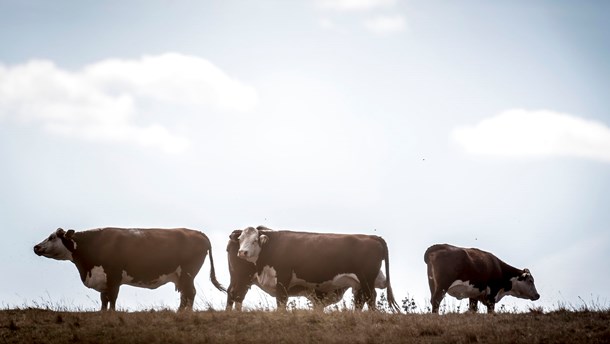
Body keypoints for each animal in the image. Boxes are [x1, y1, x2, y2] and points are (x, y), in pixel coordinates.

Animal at [32, 227, 226, 310]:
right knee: (185, 295)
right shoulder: (104, 279)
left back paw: (185, 314)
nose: (36, 247)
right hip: (183, 276)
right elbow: (104, 300)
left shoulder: (114, 277)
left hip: (187, 273)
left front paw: (112, 314)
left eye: (52, 237)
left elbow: (112, 299)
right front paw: (103, 313)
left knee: (190, 293)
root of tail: (198, 233)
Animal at [228, 226, 400, 312]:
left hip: (366, 279)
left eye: (255, 240)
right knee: (235, 294)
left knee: (370, 298)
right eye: (241, 239)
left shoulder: (283, 278)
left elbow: (281, 301)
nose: (242, 252)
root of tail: (372, 237)